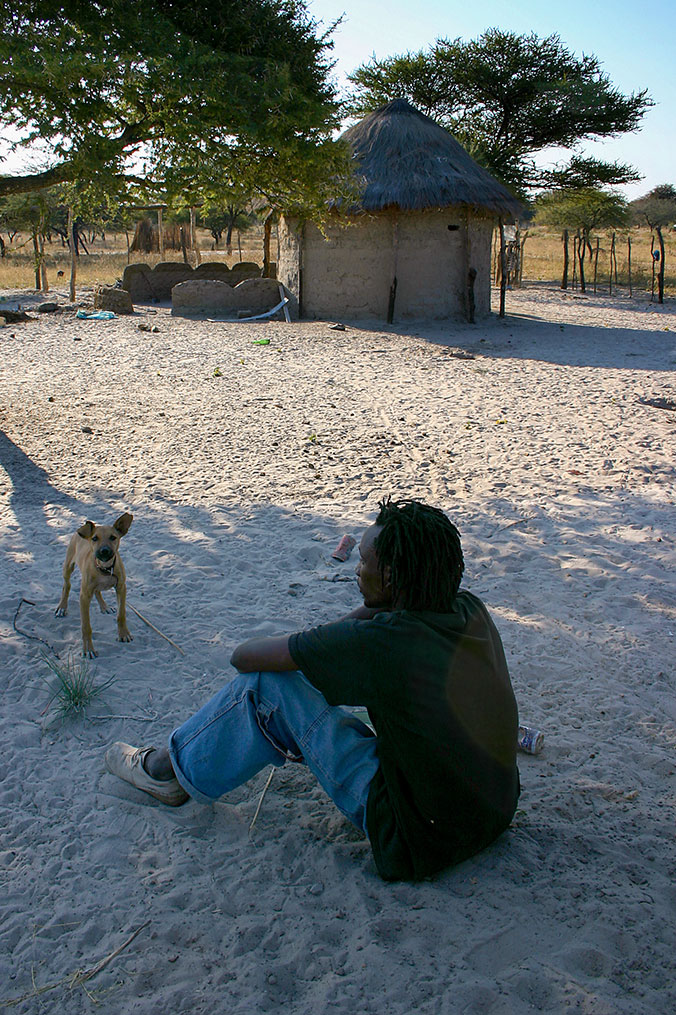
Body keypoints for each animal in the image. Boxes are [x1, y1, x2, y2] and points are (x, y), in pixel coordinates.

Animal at [56, 515, 133, 657]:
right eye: (95, 538)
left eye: (113, 537)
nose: (104, 551)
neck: (105, 568)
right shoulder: (84, 596)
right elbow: (86, 626)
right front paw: (88, 649)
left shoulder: (121, 588)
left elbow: (121, 615)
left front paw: (123, 634)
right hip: (68, 566)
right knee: (66, 585)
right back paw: (62, 607)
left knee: (97, 591)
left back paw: (105, 606)